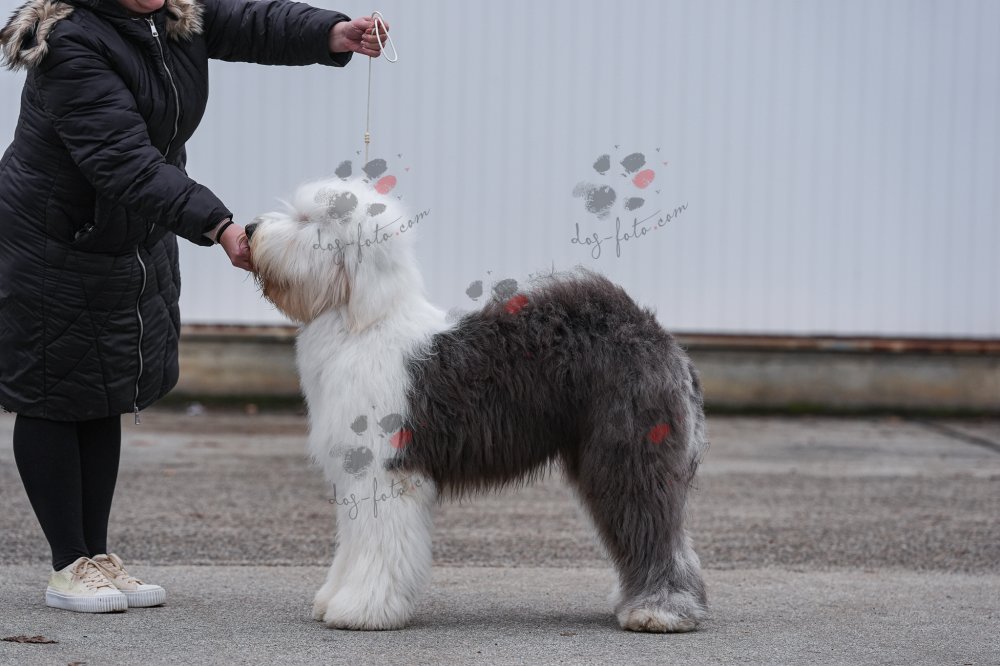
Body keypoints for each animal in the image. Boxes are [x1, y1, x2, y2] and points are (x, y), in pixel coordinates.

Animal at [244, 178, 709, 632]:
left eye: (309, 221)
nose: (248, 229)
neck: (362, 325)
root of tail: (653, 333)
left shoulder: (386, 472)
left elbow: (378, 544)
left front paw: (362, 608)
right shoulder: (354, 472)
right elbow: (352, 543)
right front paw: (333, 598)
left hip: (628, 453)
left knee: (655, 526)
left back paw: (660, 609)